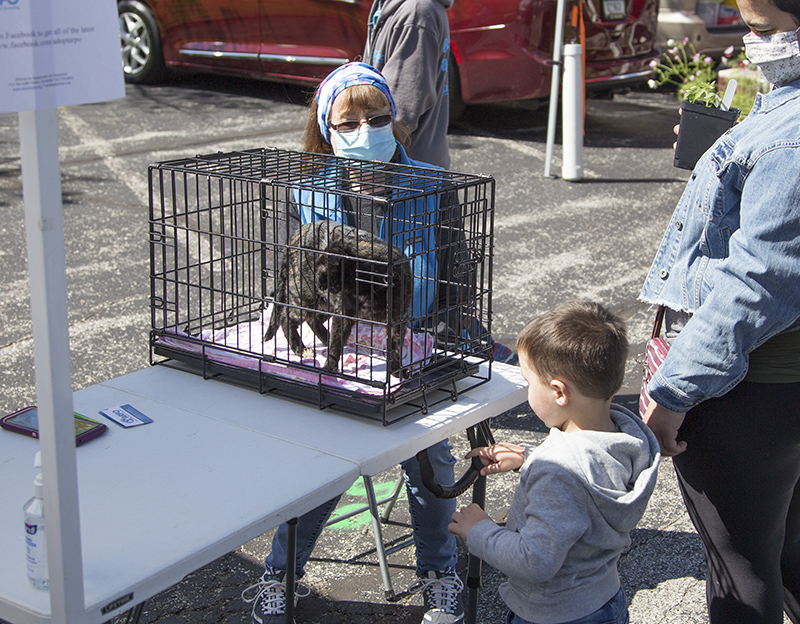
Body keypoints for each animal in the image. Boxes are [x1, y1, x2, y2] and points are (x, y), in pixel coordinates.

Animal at [264, 221, 412, 376]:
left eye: (322, 273)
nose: (319, 284)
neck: (368, 289)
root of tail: (298, 231)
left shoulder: (398, 319)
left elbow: (395, 348)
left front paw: (396, 370)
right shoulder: (343, 314)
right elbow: (335, 344)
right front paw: (329, 369)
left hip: (324, 305)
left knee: (311, 319)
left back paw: (324, 337)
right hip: (305, 300)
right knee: (286, 316)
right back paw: (300, 348)